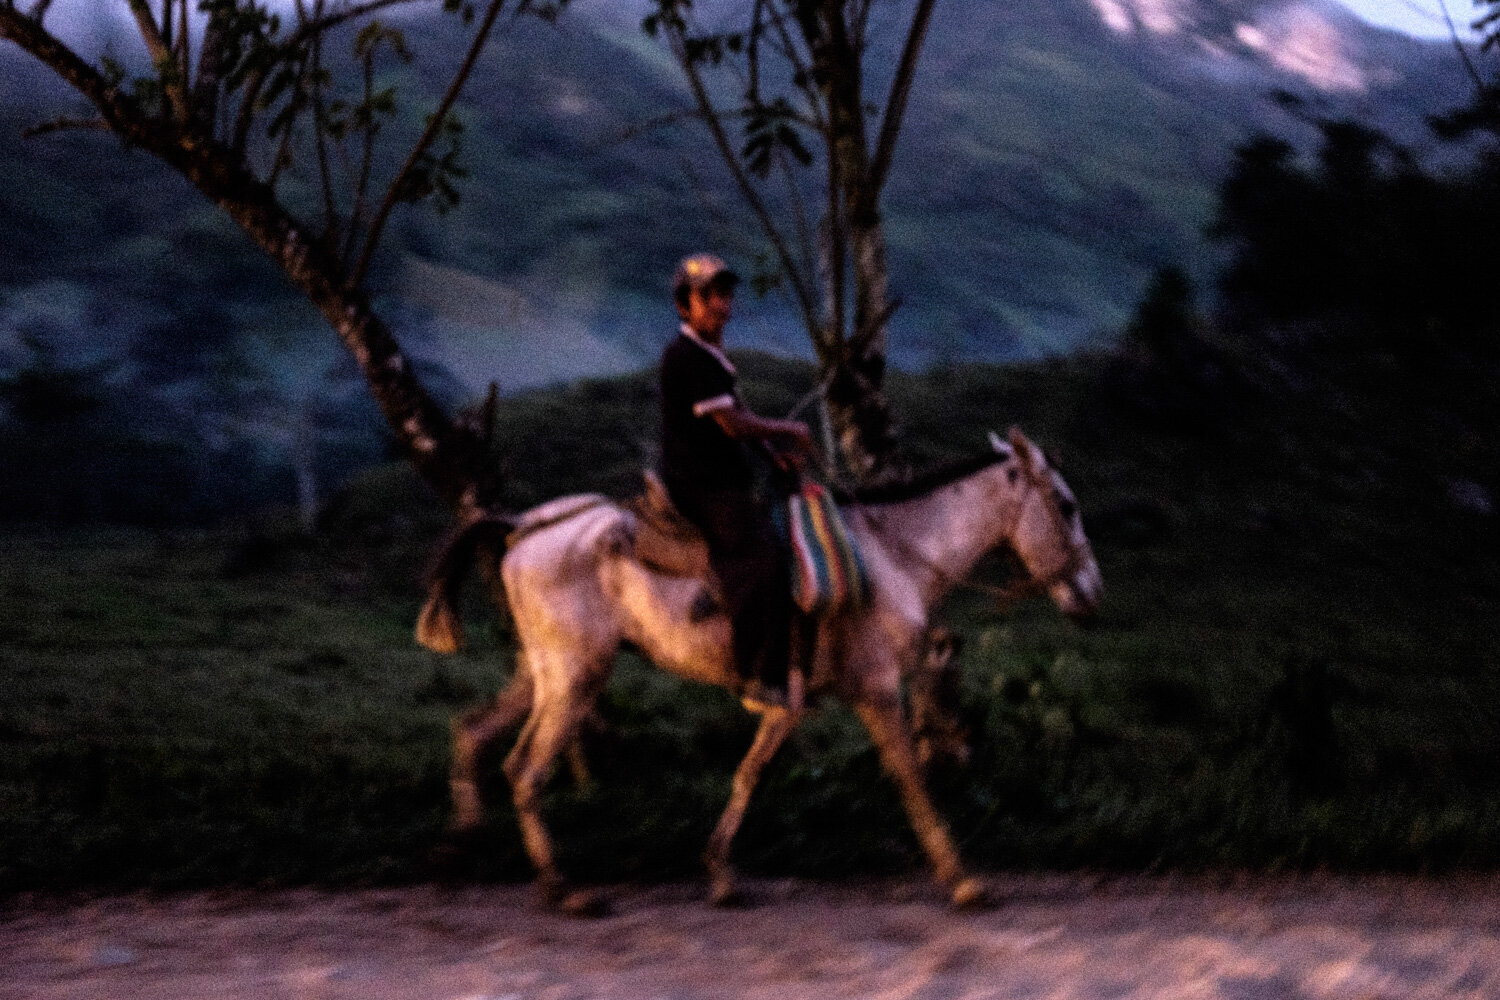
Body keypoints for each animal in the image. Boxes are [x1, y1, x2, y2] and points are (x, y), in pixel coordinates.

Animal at [417, 425, 1098, 911]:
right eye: (1066, 506)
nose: (1091, 594)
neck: (891, 554)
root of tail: (523, 527)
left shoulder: (790, 699)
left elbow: (749, 775)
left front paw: (720, 874)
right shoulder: (876, 689)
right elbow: (909, 777)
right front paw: (961, 880)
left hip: (541, 673)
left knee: (474, 733)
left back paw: (457, 851)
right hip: (574, 676)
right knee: (526, 769)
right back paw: (563, 890)